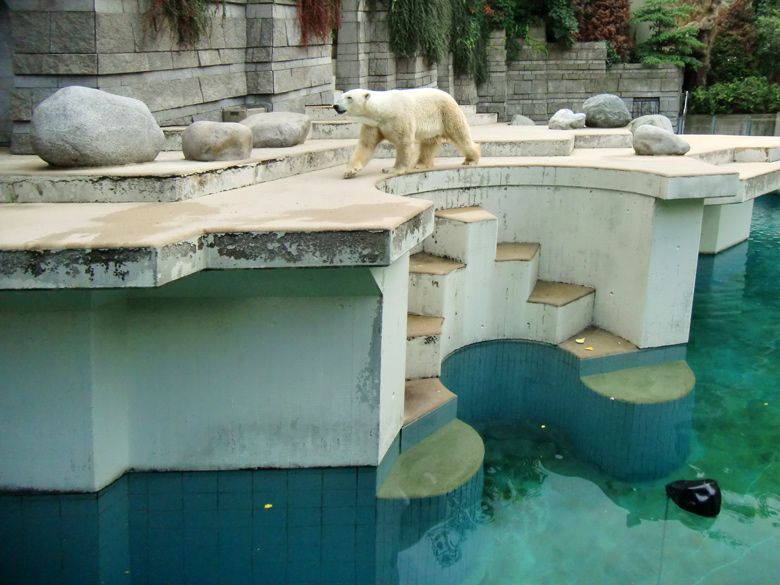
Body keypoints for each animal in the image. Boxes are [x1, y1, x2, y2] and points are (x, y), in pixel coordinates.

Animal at [330, 87, 478, 178]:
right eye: (341, 96)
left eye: (349, 97)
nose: (335, 106)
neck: (385, 109)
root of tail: (449, 96)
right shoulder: (373, 124)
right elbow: (365, 145)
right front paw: (350, 170)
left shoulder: (400, 118)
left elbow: (404, 144)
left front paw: (392, 169)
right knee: (429, 143)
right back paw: (420, 164)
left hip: (447, 113)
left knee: (460, 135)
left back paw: (471, 160)